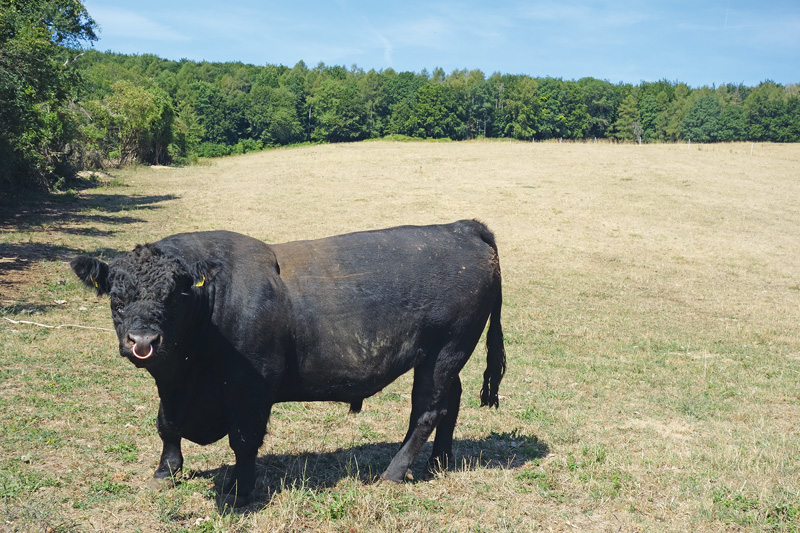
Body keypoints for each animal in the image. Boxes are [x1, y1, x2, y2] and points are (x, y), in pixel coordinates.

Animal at [70, 218, 506, 504]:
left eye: (173, 296)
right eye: (116, 299)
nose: (143, 342)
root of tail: (462, 228)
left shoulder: (250, 389)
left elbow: (244, 440)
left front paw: (240, 491)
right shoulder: (173, 387)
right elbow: (167, 426)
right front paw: (166, 471)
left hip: (443, 354)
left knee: (426, 412)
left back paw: (393, 473)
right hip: (445, 359)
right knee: (450, 404)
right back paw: (441, 461)